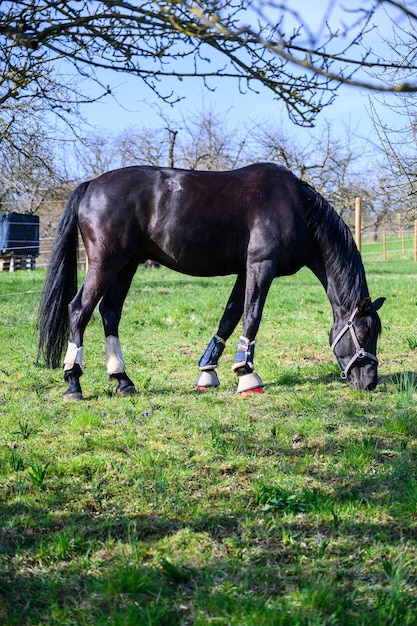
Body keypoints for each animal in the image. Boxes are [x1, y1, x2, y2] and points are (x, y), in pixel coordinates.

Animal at [37, 161, 386, 394]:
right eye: (365, 333)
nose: (370, 382)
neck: (300, 210)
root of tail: (91, 184)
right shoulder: (261, 265)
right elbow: (251, 317)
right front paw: (247, 375)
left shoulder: (246, 270)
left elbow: (229, 318)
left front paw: (208, 371)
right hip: (105, 263)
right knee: (79, 310)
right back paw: (73, 382)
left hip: (127, 264)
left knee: (110, 313)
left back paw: (122, 380)